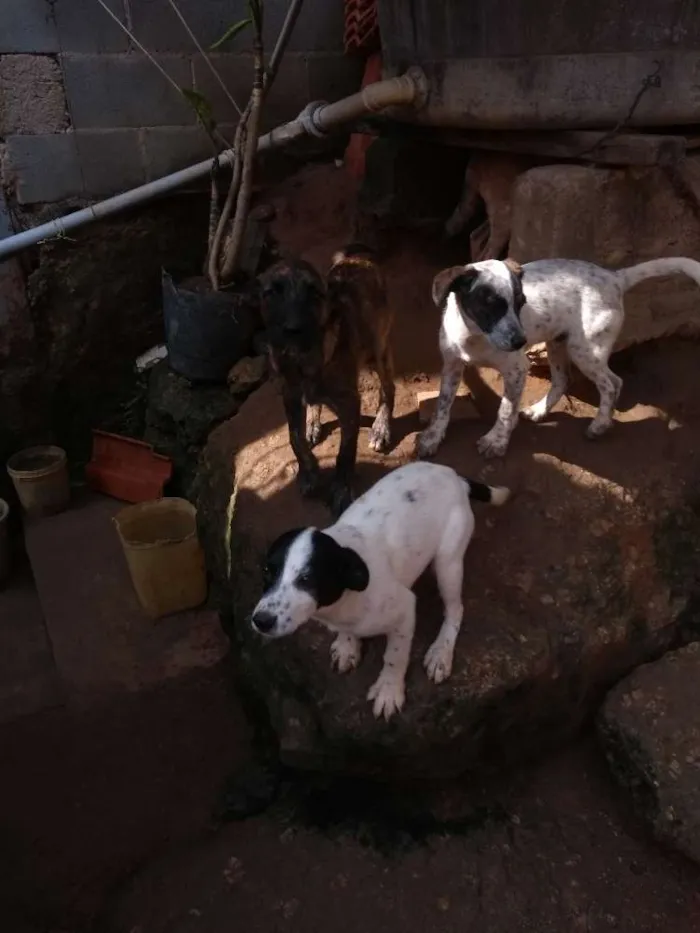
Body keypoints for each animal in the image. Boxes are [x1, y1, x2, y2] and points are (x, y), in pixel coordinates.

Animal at [252, 462, 508, 716]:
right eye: (266, 571)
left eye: (307, 579)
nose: (261, 621)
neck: (344, 600)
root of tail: (455, 476)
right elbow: (347, 633)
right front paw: (347, 645)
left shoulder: (405, 610)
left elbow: (394, 656)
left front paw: (389, 689)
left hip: (448, 563)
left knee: (455, 610)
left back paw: (440, 653)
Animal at [262, 244, 396, 516]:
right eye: (273, 292)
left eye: (314, 292)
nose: (293, 330)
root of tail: (359, 258)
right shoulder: (290, 395)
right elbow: (294, 438)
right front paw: (309, 473)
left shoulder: (349, 402)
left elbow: (346, 452)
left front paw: (341, 490)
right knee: (314, 402)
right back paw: (313, 422)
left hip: (379, 349)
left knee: (388, 388)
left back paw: (381, 427)